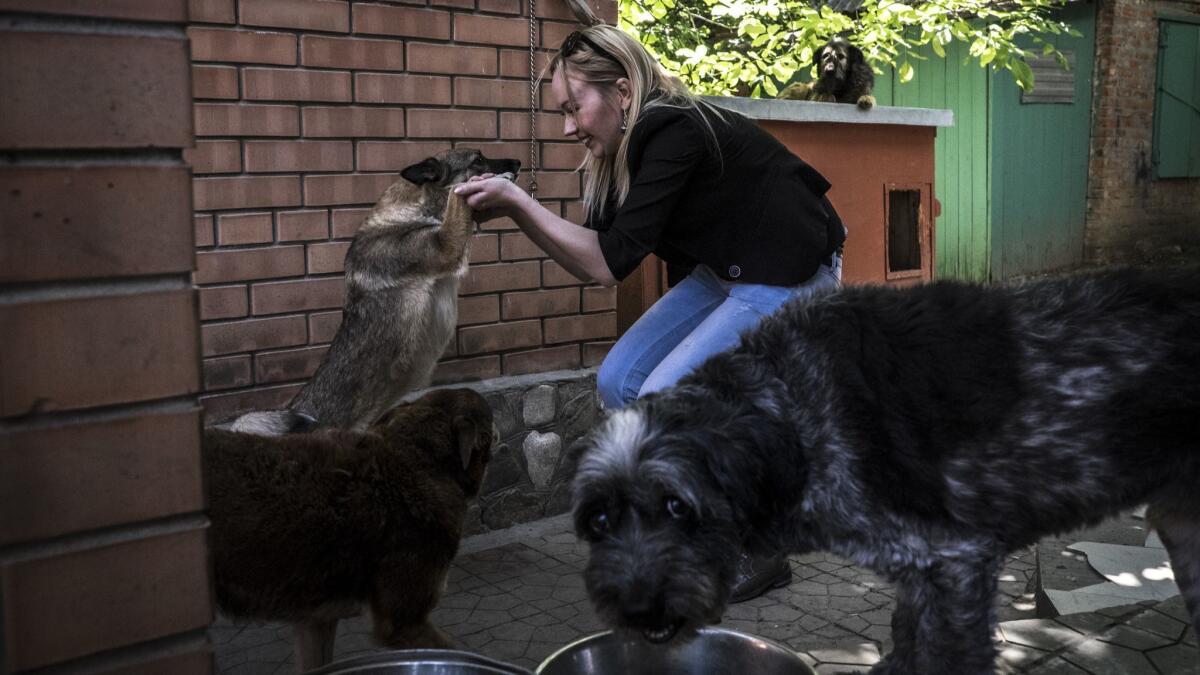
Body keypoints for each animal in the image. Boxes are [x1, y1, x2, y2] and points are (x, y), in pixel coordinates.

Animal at [231, 147, 518, 432]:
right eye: (478, 160)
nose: (518, 162)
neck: (412, 211)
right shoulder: (445, 244)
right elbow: (458, 193)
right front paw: (497, 179)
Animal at [571, 267, 1200, 672]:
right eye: (599, 521)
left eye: (678, 506)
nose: (637, 612)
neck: (788, 407)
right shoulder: (922, 575)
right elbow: (904, 642)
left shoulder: (957, 562)